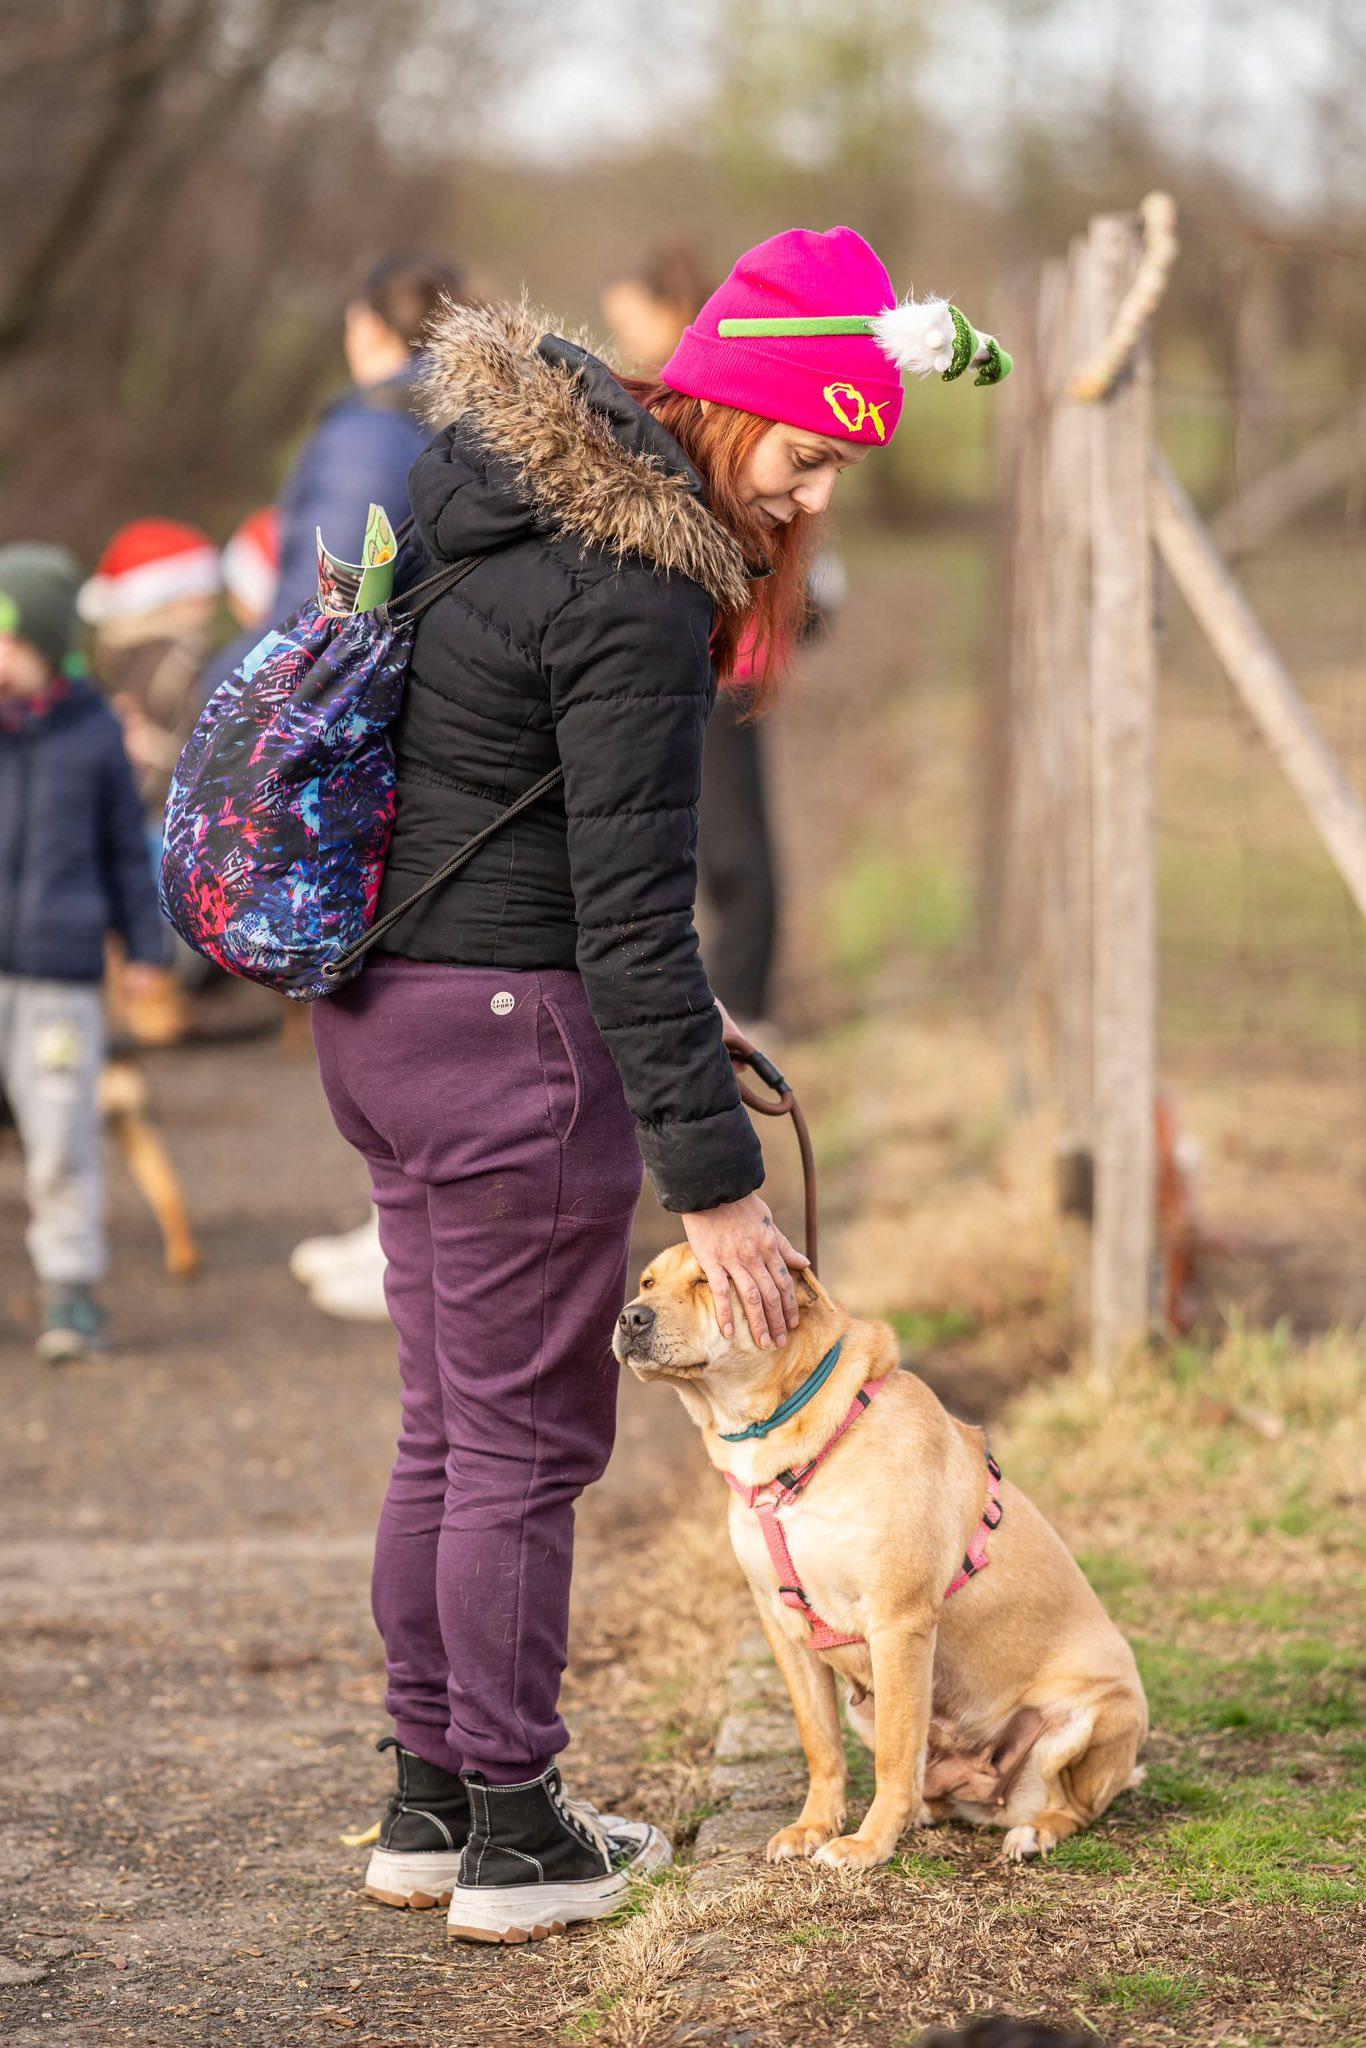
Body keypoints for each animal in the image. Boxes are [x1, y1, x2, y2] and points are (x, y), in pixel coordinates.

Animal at [614, 1246, 1147, 1870]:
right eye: (647, 1281)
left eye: (709, 1280)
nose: (631, 1316)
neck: (777, 1442)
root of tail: (989, 1791)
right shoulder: (783, 1627)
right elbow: (820, 1746)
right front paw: (814, 1825)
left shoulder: (898, 1622)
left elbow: (895, 1754)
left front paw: (868, 1844)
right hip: (862, 1709)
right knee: (930, 1783)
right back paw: (930, 1811)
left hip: (1094, 1715)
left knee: (1074, 1806)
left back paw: (1035, 1831)